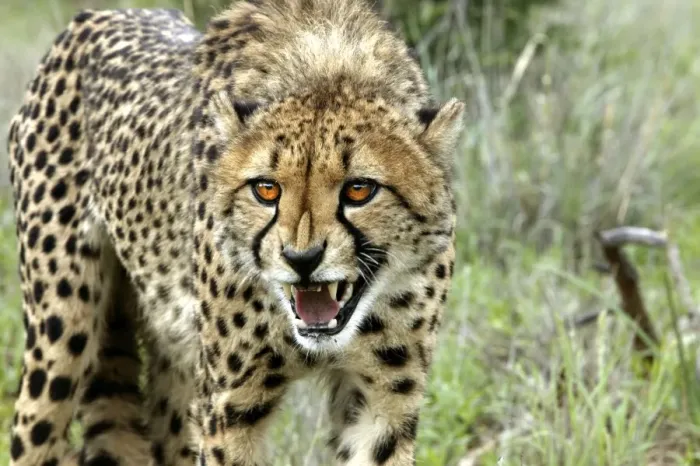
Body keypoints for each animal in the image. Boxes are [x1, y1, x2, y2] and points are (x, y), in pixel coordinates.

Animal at [5, 0, 464, 465]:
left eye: (359, 189)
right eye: (266, 189)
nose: (302, 260)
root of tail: (100, 15)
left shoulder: (383, 399)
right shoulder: (230, 404)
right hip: (60, 339)